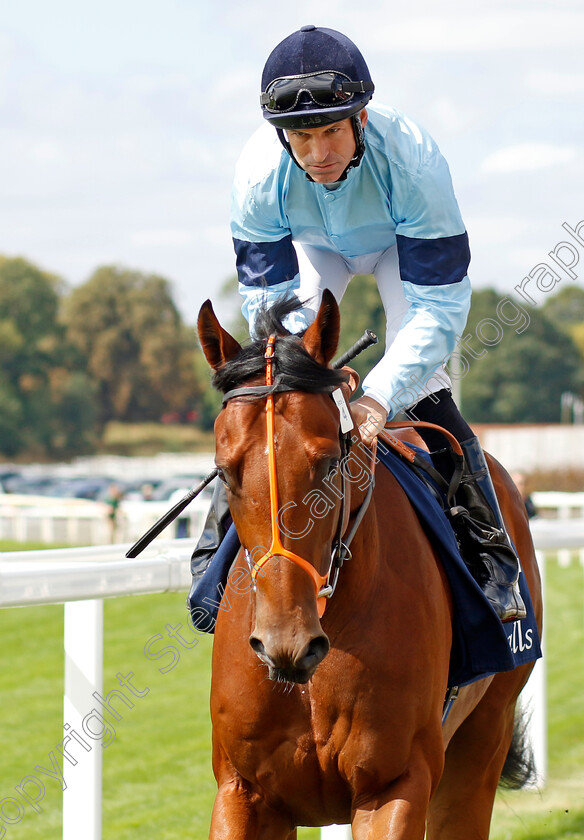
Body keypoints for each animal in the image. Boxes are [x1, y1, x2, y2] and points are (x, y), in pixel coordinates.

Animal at [196, 290, 544, 840]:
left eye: (327, 464)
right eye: (225, 471)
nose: (285, 643)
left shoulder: (395, 783)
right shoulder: (243, 791)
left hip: (485, 734)